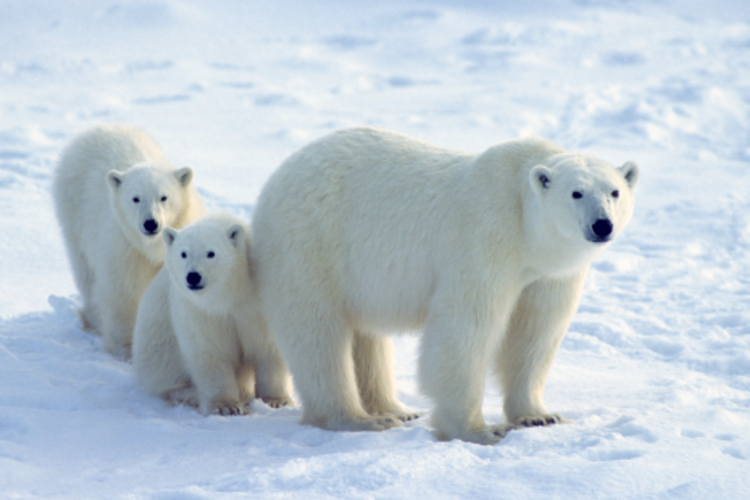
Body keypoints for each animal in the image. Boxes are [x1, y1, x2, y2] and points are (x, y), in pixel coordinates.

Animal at [53, 124, 205, 359]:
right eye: (135, 198)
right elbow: (124, 294)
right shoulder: (125, 247)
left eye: (164, 197)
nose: (151, 223)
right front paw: (126, 350)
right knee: (85, 271)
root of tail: (97, 128)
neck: (152, 247)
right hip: (72, 213)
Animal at [132, 213, 294, 415]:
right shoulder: (198, 311)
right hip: (157, 355)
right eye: (183, 253)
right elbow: (211, 352)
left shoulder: (257, 303)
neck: (231, 294)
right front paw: (226, 406)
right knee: (169, 382)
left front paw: (276, 401)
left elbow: (269, 348)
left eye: (211, 253)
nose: (193, 276)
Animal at [251, 127, 639, 444]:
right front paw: (478, 430)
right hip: (311, 244)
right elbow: (467, 328)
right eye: (576, 193)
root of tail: (277, 177)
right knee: (318, 335)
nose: (602, 225)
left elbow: (536, 331)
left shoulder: (551, 274)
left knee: (365, 336)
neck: (525, 226)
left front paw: (540, 416)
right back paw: (358, 419)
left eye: (615, 191)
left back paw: (394, 408)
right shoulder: (485, 238)